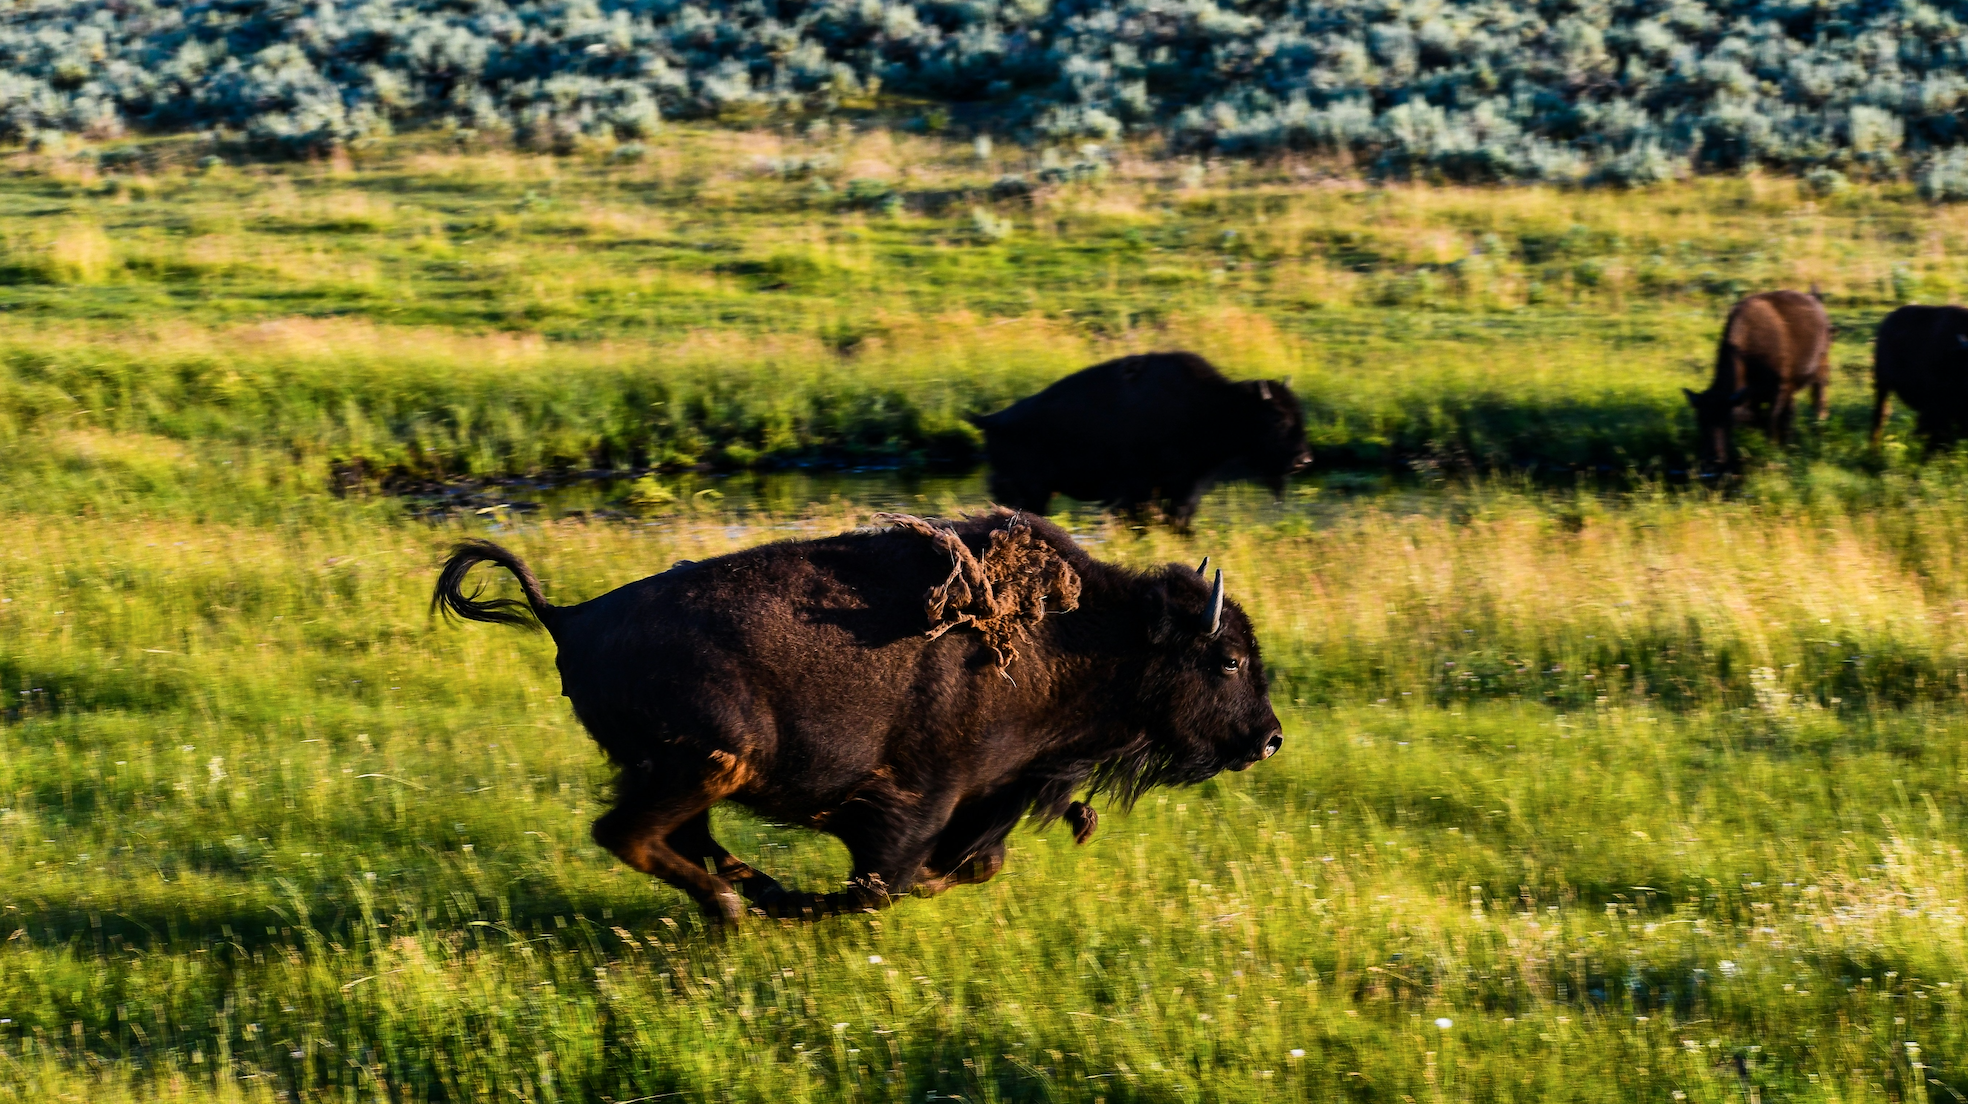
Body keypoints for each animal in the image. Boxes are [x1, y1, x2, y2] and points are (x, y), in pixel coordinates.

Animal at [431, 509, 1284, 924]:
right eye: (1228, 660)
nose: (1270, 738)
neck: (1091, 636)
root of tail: (569, 616)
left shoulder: (995, 792)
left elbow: (975, 862)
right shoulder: (921, 798)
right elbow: (884, 882)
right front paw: (825, 906)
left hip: (679, 772)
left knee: (677, 839)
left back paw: (757, 895)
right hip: (711, 761)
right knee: (630, 834)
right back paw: (744, 909)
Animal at [968, 352, 1311, 526]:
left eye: (1300, 415)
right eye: (1277, 418)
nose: (1303, 459)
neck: (1214, 406)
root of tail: (990, 420)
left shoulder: (1184, 490)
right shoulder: (1138, 491)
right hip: (1031, 492)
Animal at [1683, 290, 1831, 472]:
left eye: (1727, 421)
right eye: (1700, 420)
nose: (1713, 459)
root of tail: (1814, 300)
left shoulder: (1777, 392)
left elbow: (1771, 422)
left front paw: (1772, 451)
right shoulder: (1757, 397)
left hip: (1821, 368)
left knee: (1819, 397)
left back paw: (1818, 424)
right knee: (1791, 411)